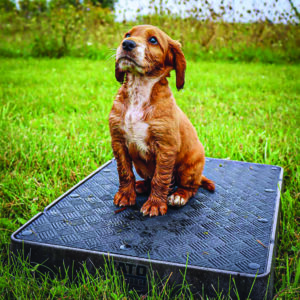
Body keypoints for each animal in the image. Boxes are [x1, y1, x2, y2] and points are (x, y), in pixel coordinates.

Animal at [109, 24, 214, 217]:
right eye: (127, 35)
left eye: (153, 40)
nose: (127, 44)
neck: (140, 90)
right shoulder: (118, 140)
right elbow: (124, 172)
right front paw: (126, 195)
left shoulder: (166, 147)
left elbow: (160, 178)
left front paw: (155, 204)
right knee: (149, 179)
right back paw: (141, 186)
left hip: (189, 167)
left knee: (191, 187)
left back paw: (179, 195)